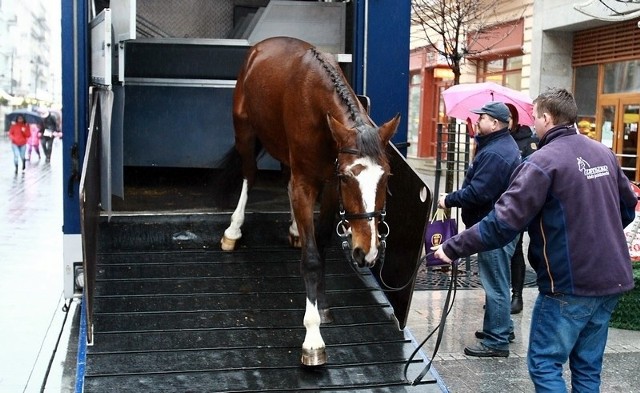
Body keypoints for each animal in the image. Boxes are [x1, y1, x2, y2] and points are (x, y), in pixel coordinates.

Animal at [222, 36, 398, 364]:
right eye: (348, 178)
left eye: (387, 176)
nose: (367, 252)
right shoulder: (313, 182)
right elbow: (312, 258)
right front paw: (313, 338)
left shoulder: (328, 185)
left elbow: (323, 241)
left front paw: (323, 305)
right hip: (245, 131)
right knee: (249, 175)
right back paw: (233, 231)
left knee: (285, 179)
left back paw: (294, 229)